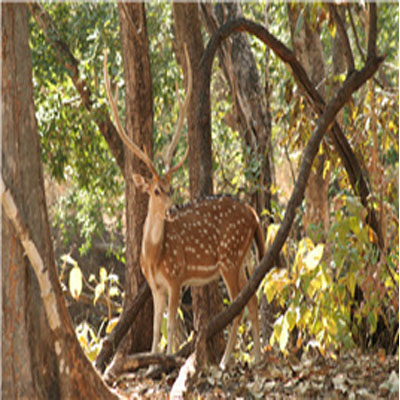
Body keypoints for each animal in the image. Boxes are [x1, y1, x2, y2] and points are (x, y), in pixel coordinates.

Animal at [104, 50, 264, 368]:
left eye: (172, 188)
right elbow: (157, 327)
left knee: (239, 305)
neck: (153, 258)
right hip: (242, 258)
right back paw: (257, 356)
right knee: (251, 300)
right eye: (156, 190)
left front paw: (166, 360)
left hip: (229, 257)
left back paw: (226, 361)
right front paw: (151, 357)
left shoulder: (177, 277)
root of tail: (254, 216)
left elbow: (172, 328)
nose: (172, 210)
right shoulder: (155, 286)